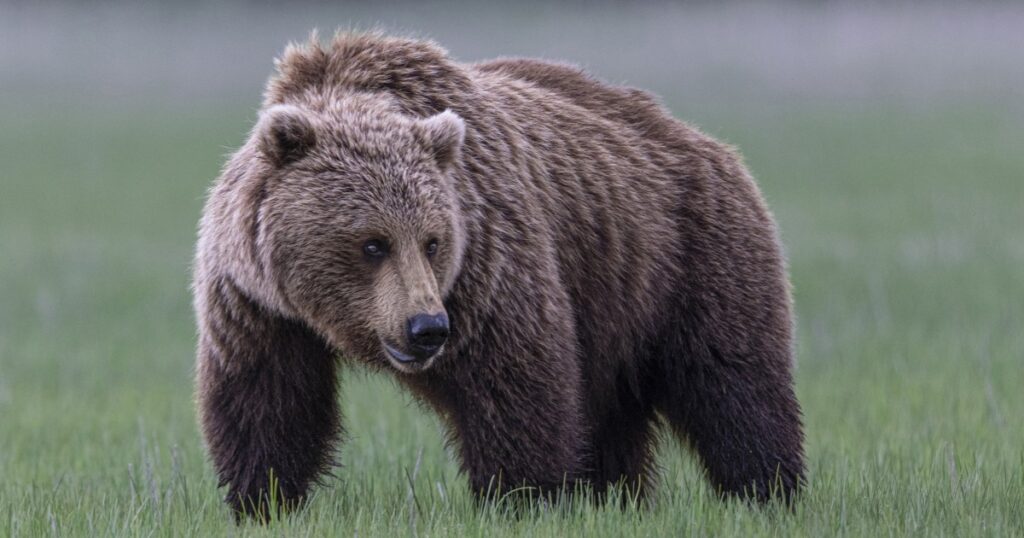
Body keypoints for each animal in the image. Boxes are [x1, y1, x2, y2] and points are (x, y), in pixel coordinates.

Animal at [193, 32, 804, 519]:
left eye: (433, 241)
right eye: (372, 243)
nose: (426, 328)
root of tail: (705, 141)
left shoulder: (487, 265)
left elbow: (516, 382)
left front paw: (522, 497)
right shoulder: (257, 304)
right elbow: (268, 402)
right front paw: (262, 499)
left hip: (688, 256)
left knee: (732, 382)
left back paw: (767, 489)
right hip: (613, 304)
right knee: (612, 412)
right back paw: (614, 495)